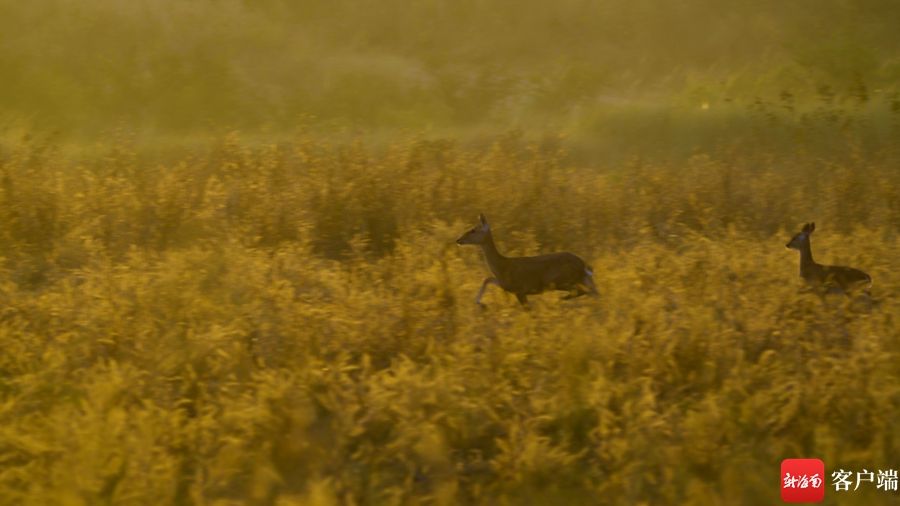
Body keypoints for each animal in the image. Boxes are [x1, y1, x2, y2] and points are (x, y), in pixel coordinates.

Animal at [458, 212, 596, 304]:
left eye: (473, 230)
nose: (458, 240)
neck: (502, 266)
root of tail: (583, 265)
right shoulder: (506, 285)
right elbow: (487, 279)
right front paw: (479, 302)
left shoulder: (520, 290)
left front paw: (480, 303)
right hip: (579, 279)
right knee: (593, 291)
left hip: (559, 280)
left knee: (582, 291)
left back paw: (561, 300)